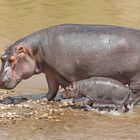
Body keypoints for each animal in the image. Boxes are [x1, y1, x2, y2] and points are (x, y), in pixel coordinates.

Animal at [0, 23, 140, 101]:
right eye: (2, 57)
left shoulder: (61, 72)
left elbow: (65, 85)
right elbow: (51, 89)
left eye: (12, 59)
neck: (34, 50)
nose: (0, 81)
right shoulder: (49, 71)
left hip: (135, 79)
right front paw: (42, 99)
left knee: (135, 94)